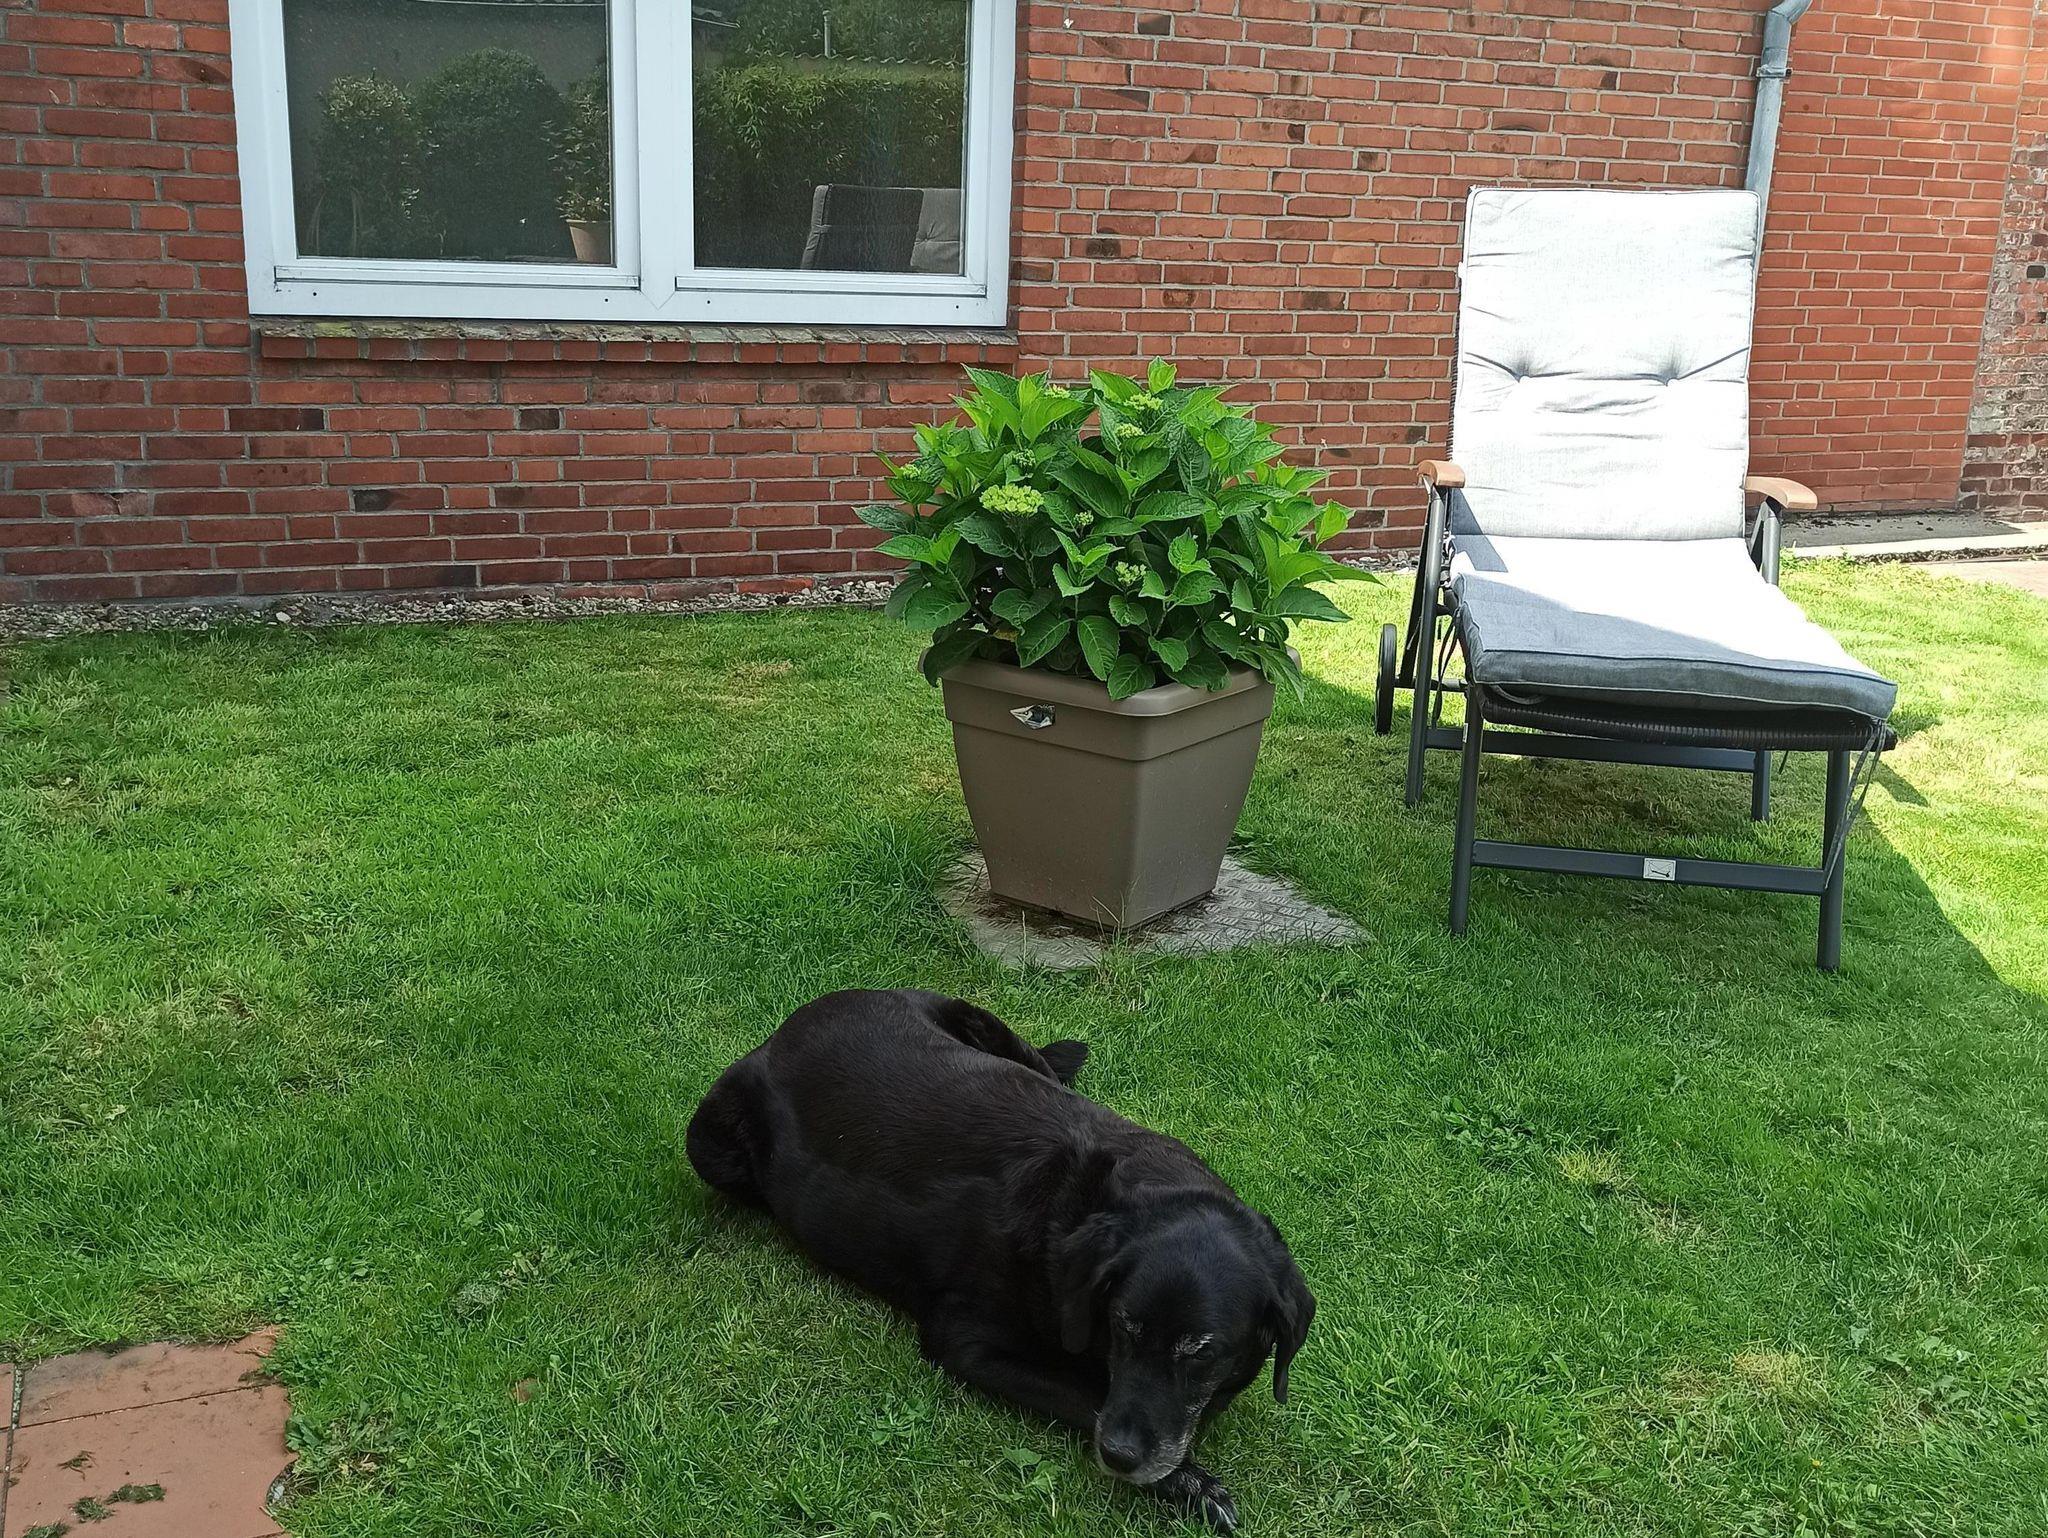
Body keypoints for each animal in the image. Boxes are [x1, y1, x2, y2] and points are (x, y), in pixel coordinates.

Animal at [686, 988, 1314, 1532]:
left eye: (1202, 1353)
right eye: (1122, 1327)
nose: (1119, 1456)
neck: (1080, 1211)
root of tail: (788, 1027)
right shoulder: (966, 1341)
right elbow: (1086, 1398)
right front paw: (1190, 1485)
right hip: (709, 1145)